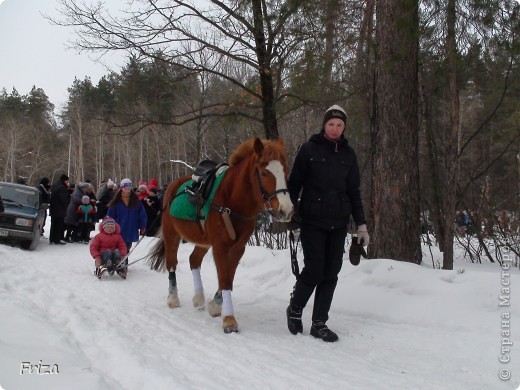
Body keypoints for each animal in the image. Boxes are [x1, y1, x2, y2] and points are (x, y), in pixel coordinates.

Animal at [147, 137, 292, 332]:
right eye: (263, 173)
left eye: (286, 171)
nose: (286, 210)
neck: (232, 201)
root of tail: (172, 187)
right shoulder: (220, 246)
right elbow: (224, 278)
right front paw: (229, 319)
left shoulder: (238, 248)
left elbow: (229, 277)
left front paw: (216, 305)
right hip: (172, 235)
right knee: (172, 264)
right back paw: (173, 298)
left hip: (202, 241)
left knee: (194, 260)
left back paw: (199, 297)